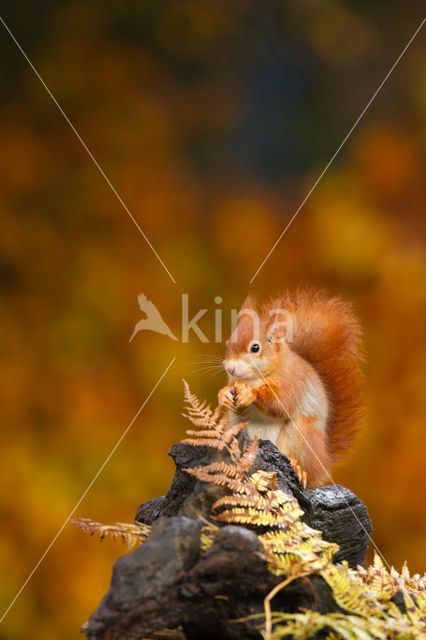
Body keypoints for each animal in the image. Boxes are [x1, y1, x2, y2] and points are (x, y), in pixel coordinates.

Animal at [220, 292, 362, 488]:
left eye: (255, 348)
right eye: (227, 343)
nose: (230, 369)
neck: (255, 378)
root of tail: (323, 460)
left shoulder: (293, 382)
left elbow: (282, 404)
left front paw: (252, 393)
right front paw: (224, 395)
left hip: (302, 434)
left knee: (306, 468)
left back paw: (298, 467)